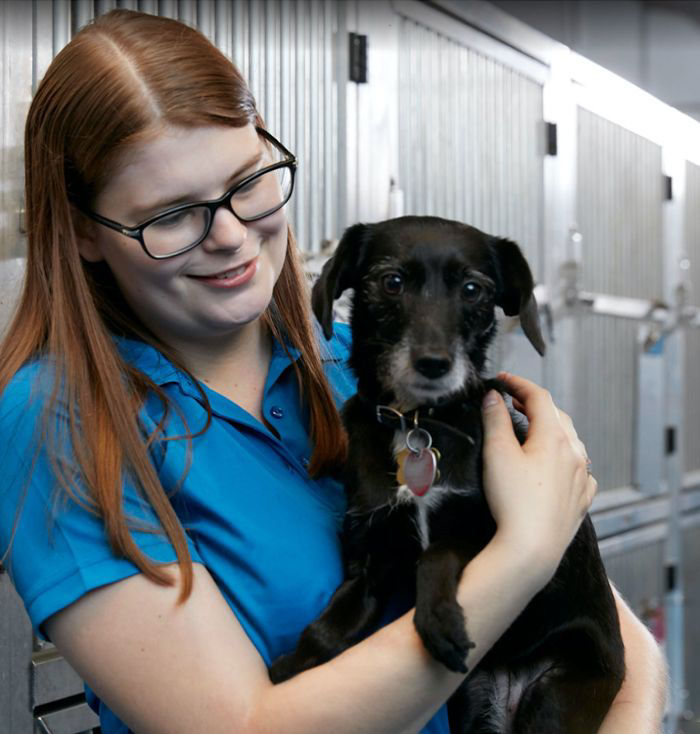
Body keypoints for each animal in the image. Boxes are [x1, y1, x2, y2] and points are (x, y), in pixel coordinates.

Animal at [270, 216, 624, 732]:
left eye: (474, 290)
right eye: (391, 281)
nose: (434, 364)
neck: (416, 423)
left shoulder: (494, 532)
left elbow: (437, 550)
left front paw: (438, 618)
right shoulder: (369, 560)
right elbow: (325, 633)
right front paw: (290, 667)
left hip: (556, 698)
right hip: (472, 705)